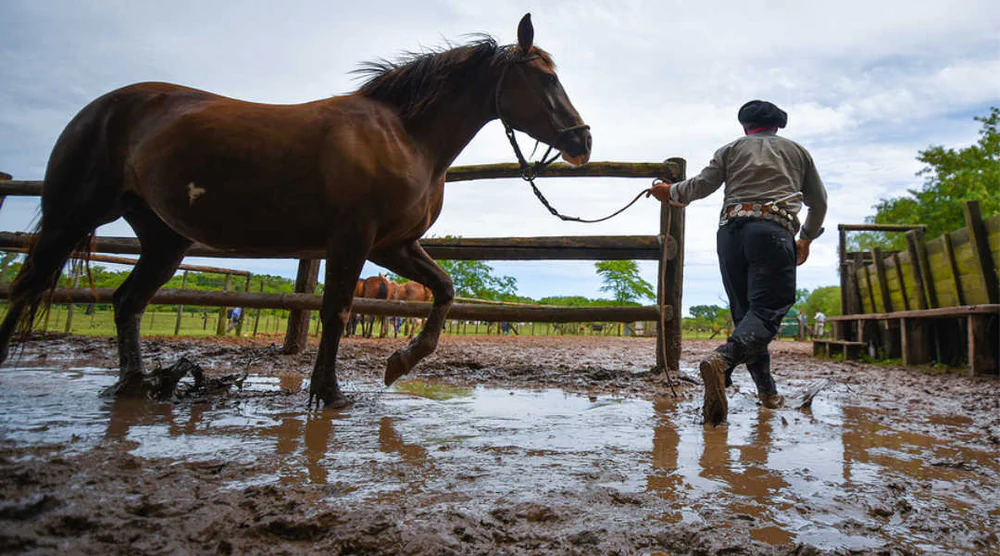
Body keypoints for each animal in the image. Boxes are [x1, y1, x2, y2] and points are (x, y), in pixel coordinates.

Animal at [0, 13, 591, 408]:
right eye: (545, 78)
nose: (582, 140)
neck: (403, 135)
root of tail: (99, 109)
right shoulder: (353, 241)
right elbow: (337, 312)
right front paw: (329, 393)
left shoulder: (392, 245)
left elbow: (443, 291)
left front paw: (399, 364)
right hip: (71, 215)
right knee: (28, 288)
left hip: (164, 240)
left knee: (126, 303)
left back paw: (135, 384)